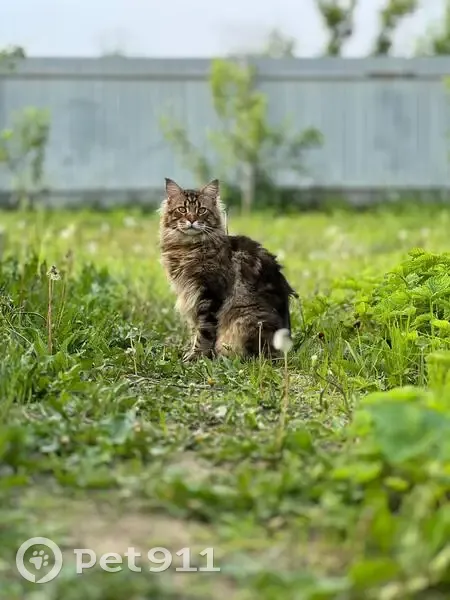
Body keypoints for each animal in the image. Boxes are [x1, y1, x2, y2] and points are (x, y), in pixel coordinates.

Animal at [159, 177, 298, 361]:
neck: (187, 248)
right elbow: (195, 330)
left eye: (202, 210)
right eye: (182, 209)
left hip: (244, 318)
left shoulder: (209, 295)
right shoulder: (190, 297)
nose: (191, 220)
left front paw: (196, 357)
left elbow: (204, 332)